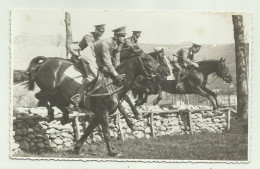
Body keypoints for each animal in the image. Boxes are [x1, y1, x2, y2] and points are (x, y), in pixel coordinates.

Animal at [25, 52, 167, 156]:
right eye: (147, 59)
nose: (163, 72)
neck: (113, 84)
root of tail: (46, 61)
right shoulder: (103, 112)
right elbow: (106, 133)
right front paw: (112, 152)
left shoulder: (99, 114)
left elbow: (88, 130)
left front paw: (77, 147)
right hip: (51, 90)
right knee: (41, 97)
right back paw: (53, 114)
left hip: (58, 94)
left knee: (51, 100)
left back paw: (64, 115)